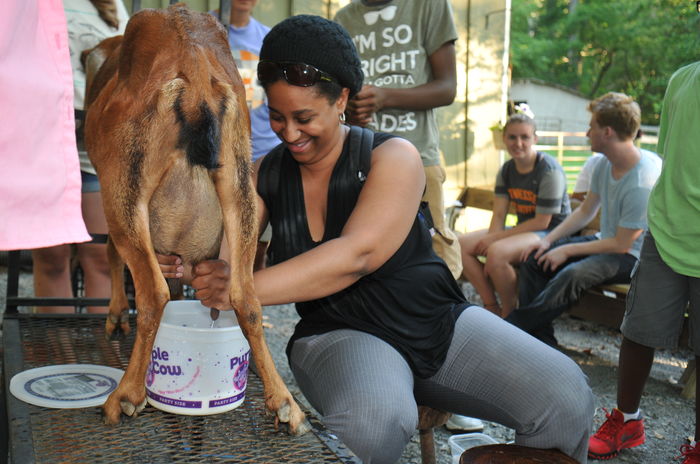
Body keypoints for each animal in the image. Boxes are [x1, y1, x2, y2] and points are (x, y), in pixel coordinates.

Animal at [82, 2, 306, 436]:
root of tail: (195, 73)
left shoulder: (110, 189)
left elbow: (112, 252)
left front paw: (115, 315)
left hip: (124, 187)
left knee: (153, 293)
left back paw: (126, 396)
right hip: (241, 188)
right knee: (246, 297)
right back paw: (286, 405)